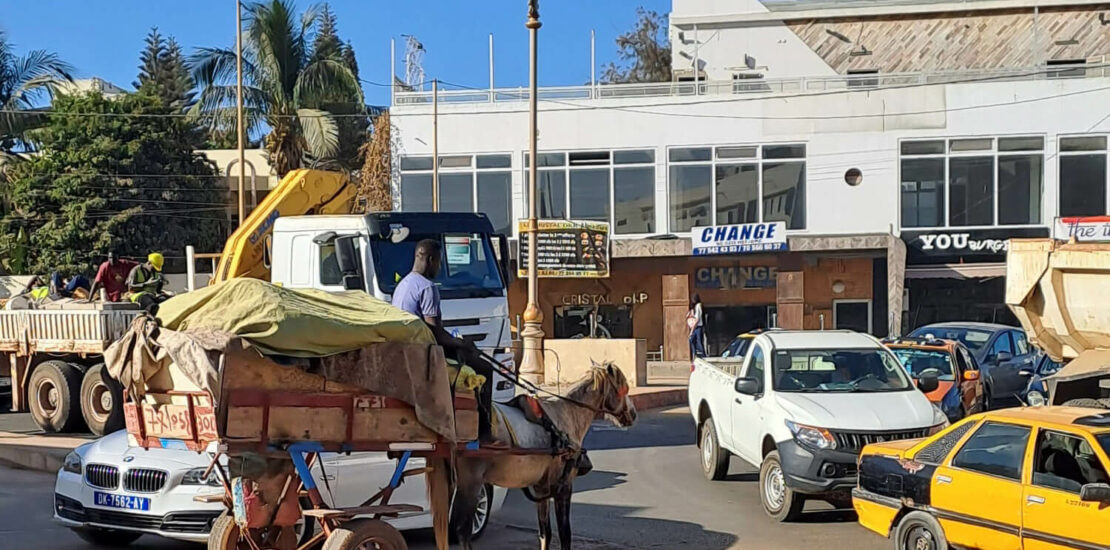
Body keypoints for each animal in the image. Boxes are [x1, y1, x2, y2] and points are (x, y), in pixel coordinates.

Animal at [448, 362, 639, 550]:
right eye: (624, 387)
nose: (633, 414)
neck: (568, 414)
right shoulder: (564, 487)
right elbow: (565, 535)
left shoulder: (541, 488)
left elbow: (545, 533)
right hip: (471, 481)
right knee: (463, 530)